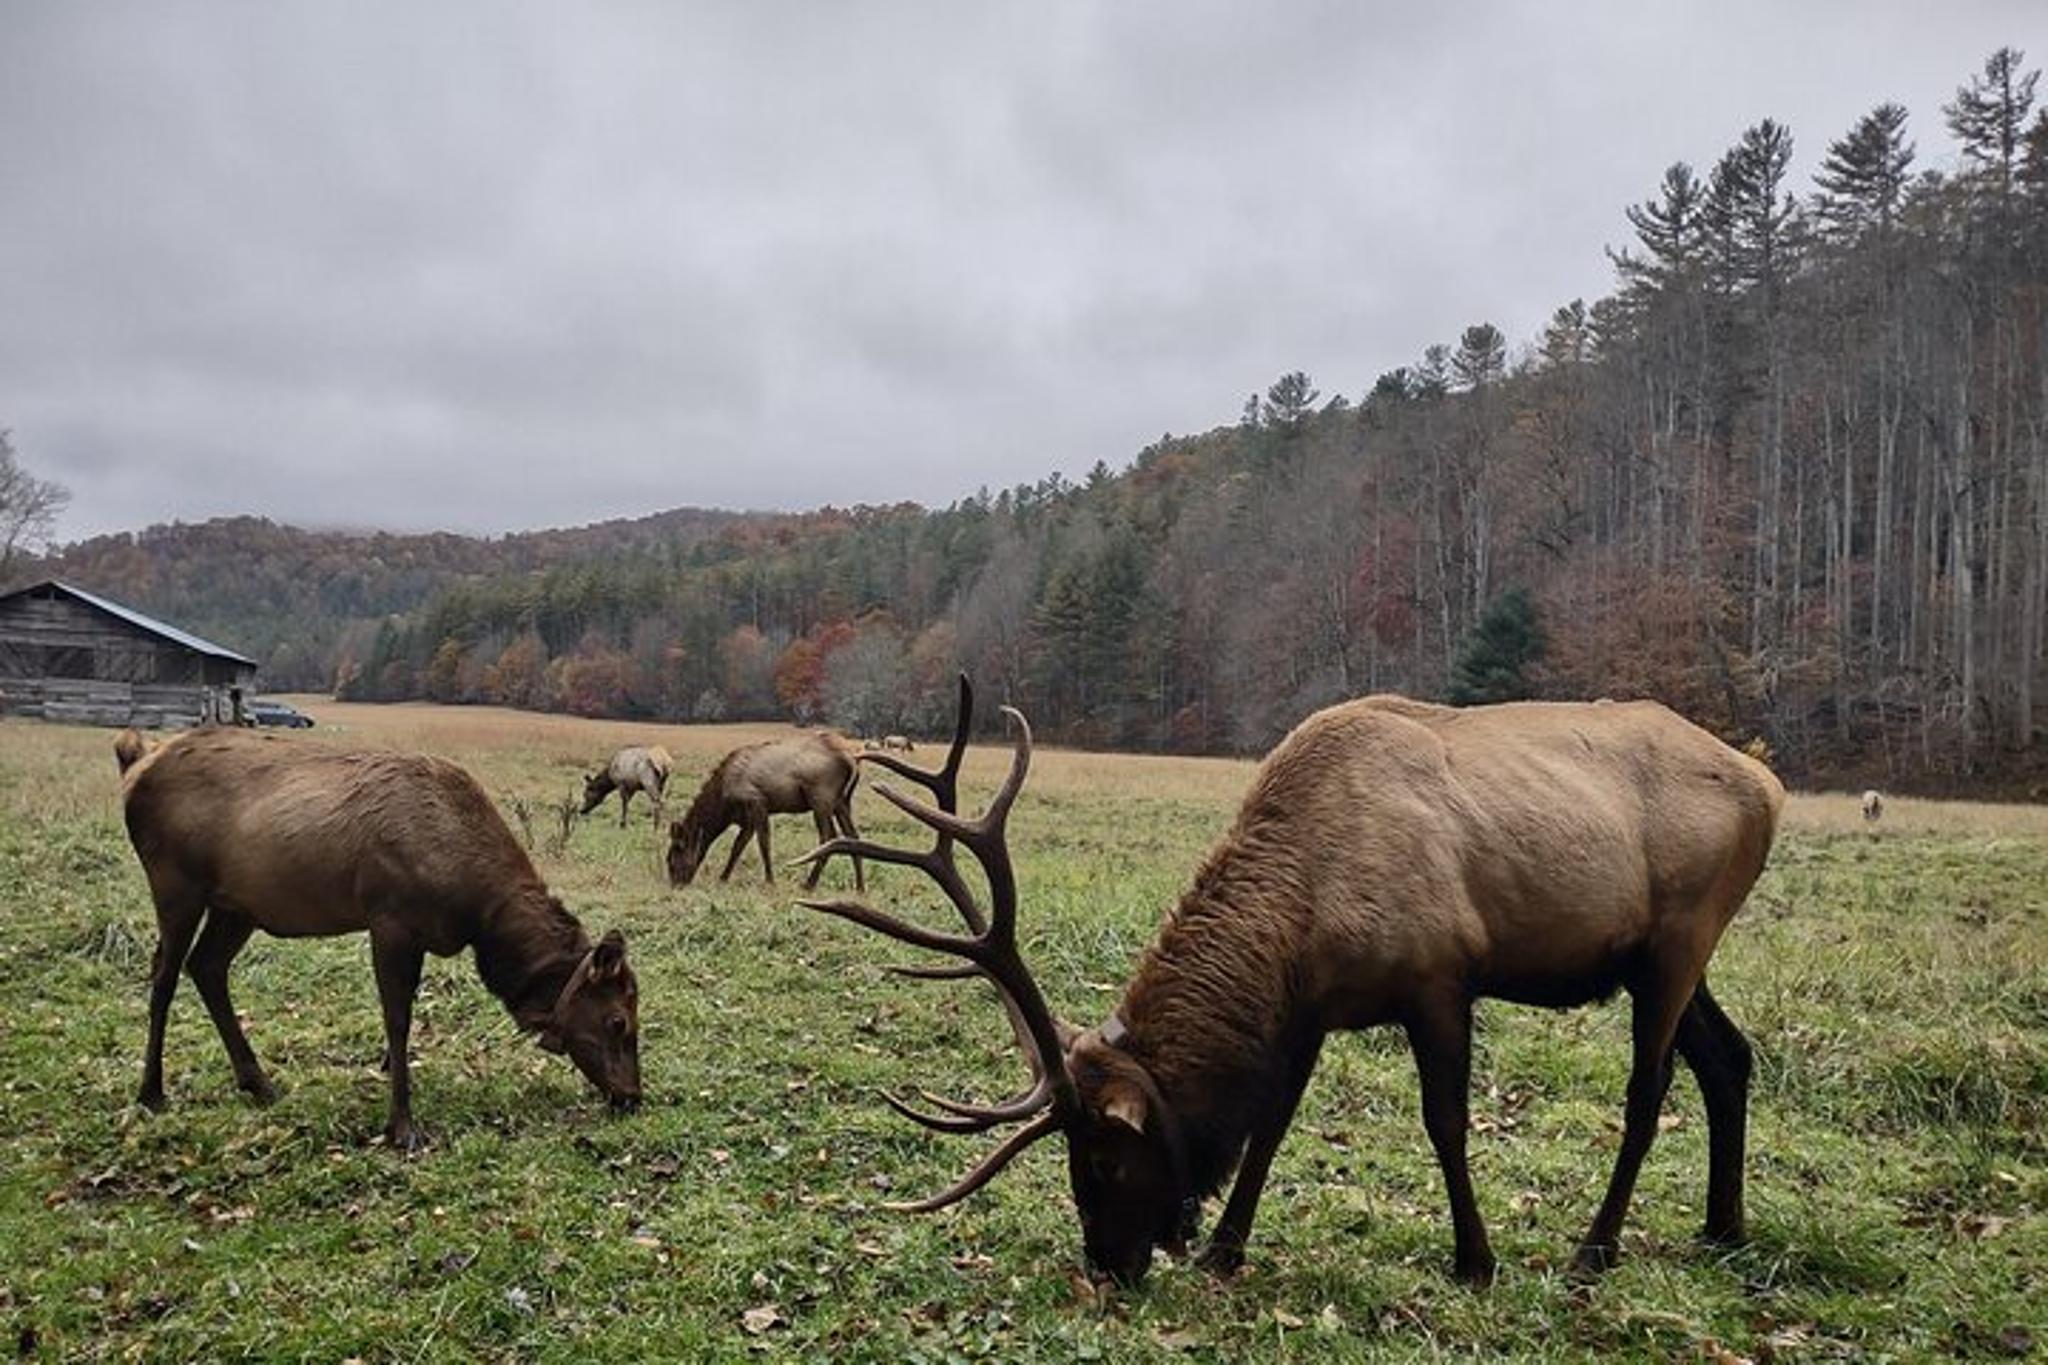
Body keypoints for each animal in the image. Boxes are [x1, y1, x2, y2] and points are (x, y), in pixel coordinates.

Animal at [115, 726, 642, 1151]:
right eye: (618, 1021)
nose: (633, 1097)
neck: (476, 910)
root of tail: (135, 764)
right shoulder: (390, 919)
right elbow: (398, 1019)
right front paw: (402, 1126)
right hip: (175, 882)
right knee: (163, 974)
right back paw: (152, 1091)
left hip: (237, 905)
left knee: (206, 966)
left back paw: (258, 1082)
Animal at [666, 733, 864, 891]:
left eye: (674, 854)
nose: (675, 885)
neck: (724, 806)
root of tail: (852, 759)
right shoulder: (747, 818)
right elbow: (737, 846)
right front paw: (723, 878)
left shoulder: (757, 803)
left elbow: (763, 843)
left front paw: (770, 881)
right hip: (842, 801)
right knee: (852, 836)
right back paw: (860, 887)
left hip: (821, 798)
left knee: (829, 837)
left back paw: (809, 884)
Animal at [797, 677, 1783, 1288]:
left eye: (1105, 1158)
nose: (1107, 1265)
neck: (1301, 920)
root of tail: (1766, 783)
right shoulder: (1312, 1006)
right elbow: (1270, 1121)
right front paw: (1226, 1248)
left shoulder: (1440, 974)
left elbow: (1445, 1120)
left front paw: (1475, 1258)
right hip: (1664, 956)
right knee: (1728, 1057)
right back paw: (1723, 1225)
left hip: (1682, 933)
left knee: (1652, 1084)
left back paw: (1594, 1248)